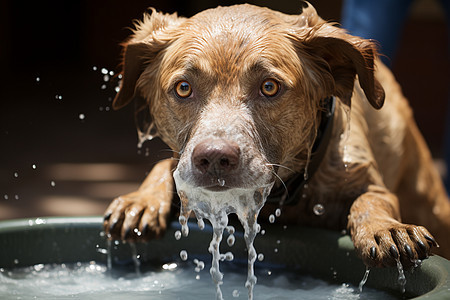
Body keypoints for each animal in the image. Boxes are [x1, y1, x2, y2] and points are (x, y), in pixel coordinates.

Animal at [103, 2, 450, 268]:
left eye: (269, 87)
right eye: (183, 88)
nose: (214, 158)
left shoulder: (368, 180)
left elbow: (371, 200)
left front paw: (387, 229)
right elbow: (165, 167)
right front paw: (141, 202)